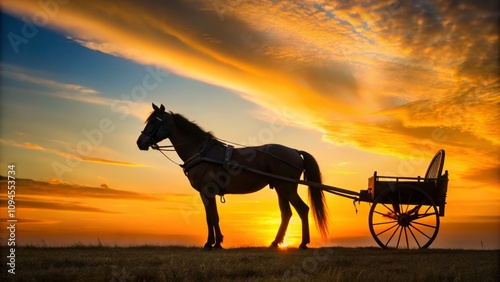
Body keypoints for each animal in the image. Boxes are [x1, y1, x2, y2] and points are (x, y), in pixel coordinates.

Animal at [137, 103, 328, 249]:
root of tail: (294, 151)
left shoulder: (206, 191)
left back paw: (303, 243)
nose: (140, 142)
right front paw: (215, 241)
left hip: (287, 188)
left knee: (302, 210)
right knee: (286, 214)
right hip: (280, 188)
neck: (201, 151)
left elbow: (212, 217)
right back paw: (275, 242)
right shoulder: (208, 193)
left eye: (153, 121)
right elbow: (211, 217)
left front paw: (213, 243)